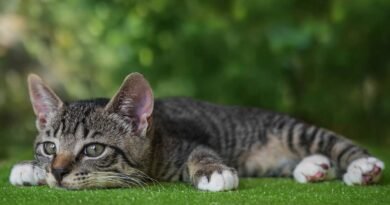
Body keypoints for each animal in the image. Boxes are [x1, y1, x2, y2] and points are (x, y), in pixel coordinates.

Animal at [8, 73, 384, 191]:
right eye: (49, 147)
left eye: (93, 149)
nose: (57, 172)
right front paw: (29, 168)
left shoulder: (189, 140)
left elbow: (202, 151)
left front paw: (212, 171)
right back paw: (314, 167)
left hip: (293, 131)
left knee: (333, 141)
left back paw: (361, 166)